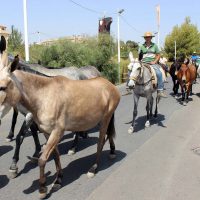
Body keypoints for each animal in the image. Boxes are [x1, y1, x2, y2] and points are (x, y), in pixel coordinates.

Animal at [0, 58, 119, 198]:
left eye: (3, 87)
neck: (44, 96)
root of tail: (109, 84)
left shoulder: (57, 132)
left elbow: (42, 159)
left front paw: (42, 189)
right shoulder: (47, 132)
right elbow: (55, 155)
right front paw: (58, 179)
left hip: (105, 118)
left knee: (100, 142)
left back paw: (93, 168)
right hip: (99, 119)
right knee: (108, 134)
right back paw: (111, 151)